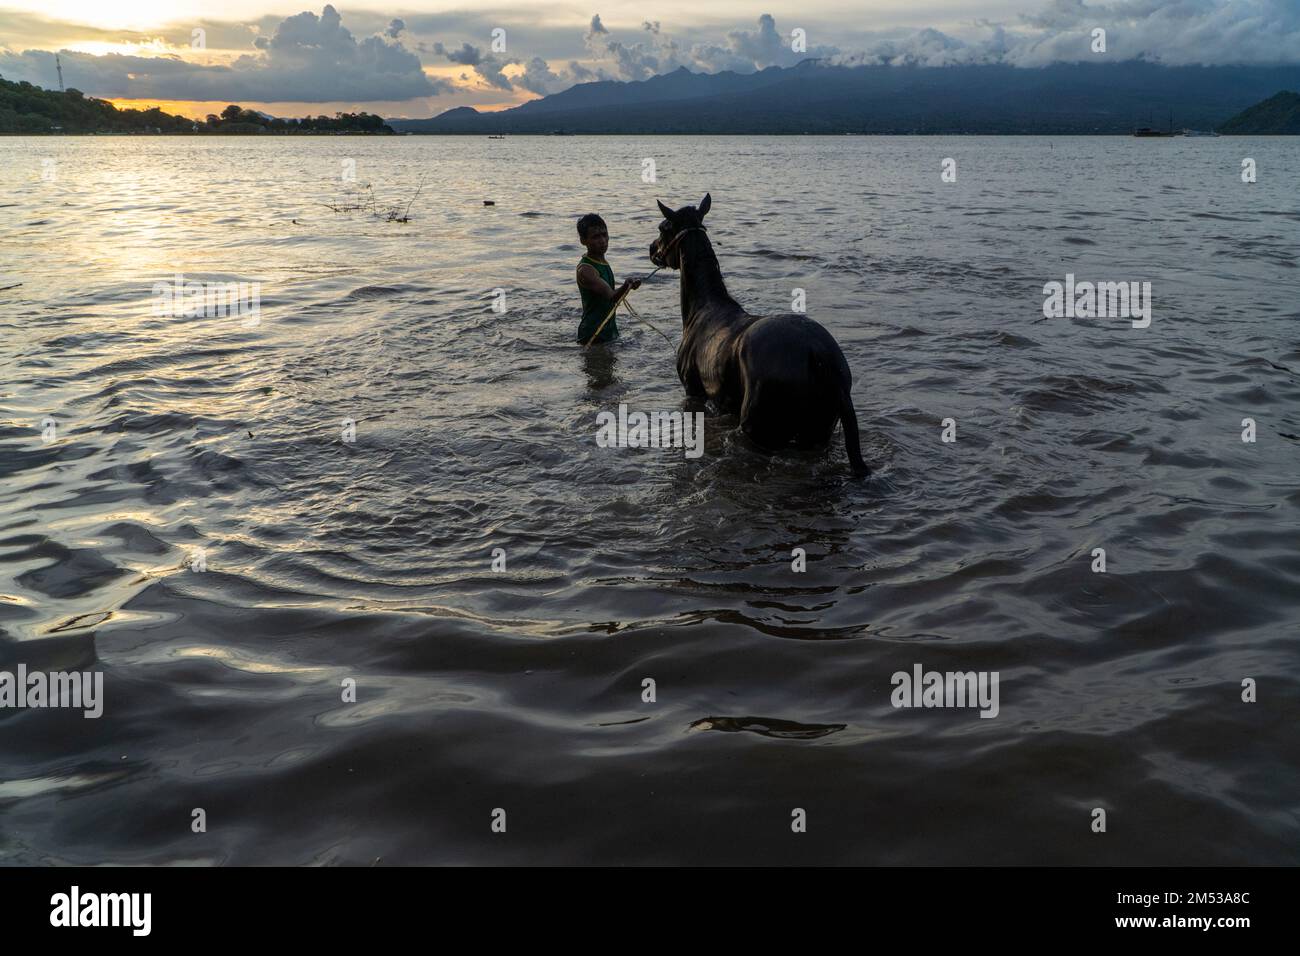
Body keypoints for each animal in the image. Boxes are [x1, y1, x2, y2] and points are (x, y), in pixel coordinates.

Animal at [647, 195, 868, 478]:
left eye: (663, 228)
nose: (651, 249)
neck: (704, 306)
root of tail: (818, 353)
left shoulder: (693, 391)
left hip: (760, 430)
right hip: (817, 432)